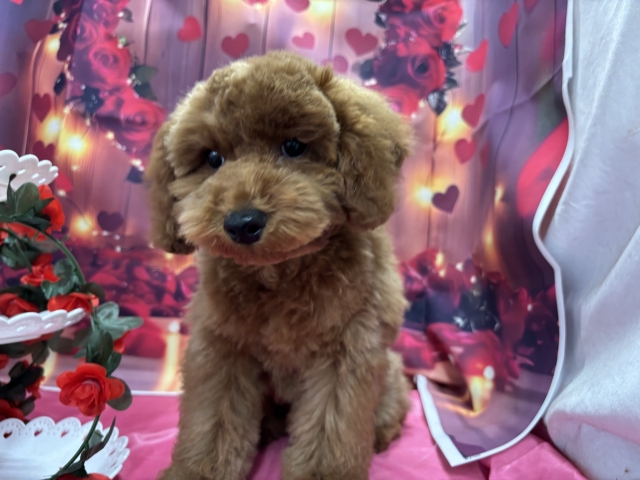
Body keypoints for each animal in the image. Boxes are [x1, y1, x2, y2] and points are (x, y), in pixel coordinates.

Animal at [145, 51, 413, 480]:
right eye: (213, 158)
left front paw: (322, 474)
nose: (243, 222)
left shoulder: (345, 353)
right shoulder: (222, 348)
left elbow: (329, 433)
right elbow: (214, 421)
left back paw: (381, 433)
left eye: (293, 146)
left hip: (388, 371)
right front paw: (199, 470)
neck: (281, 274)